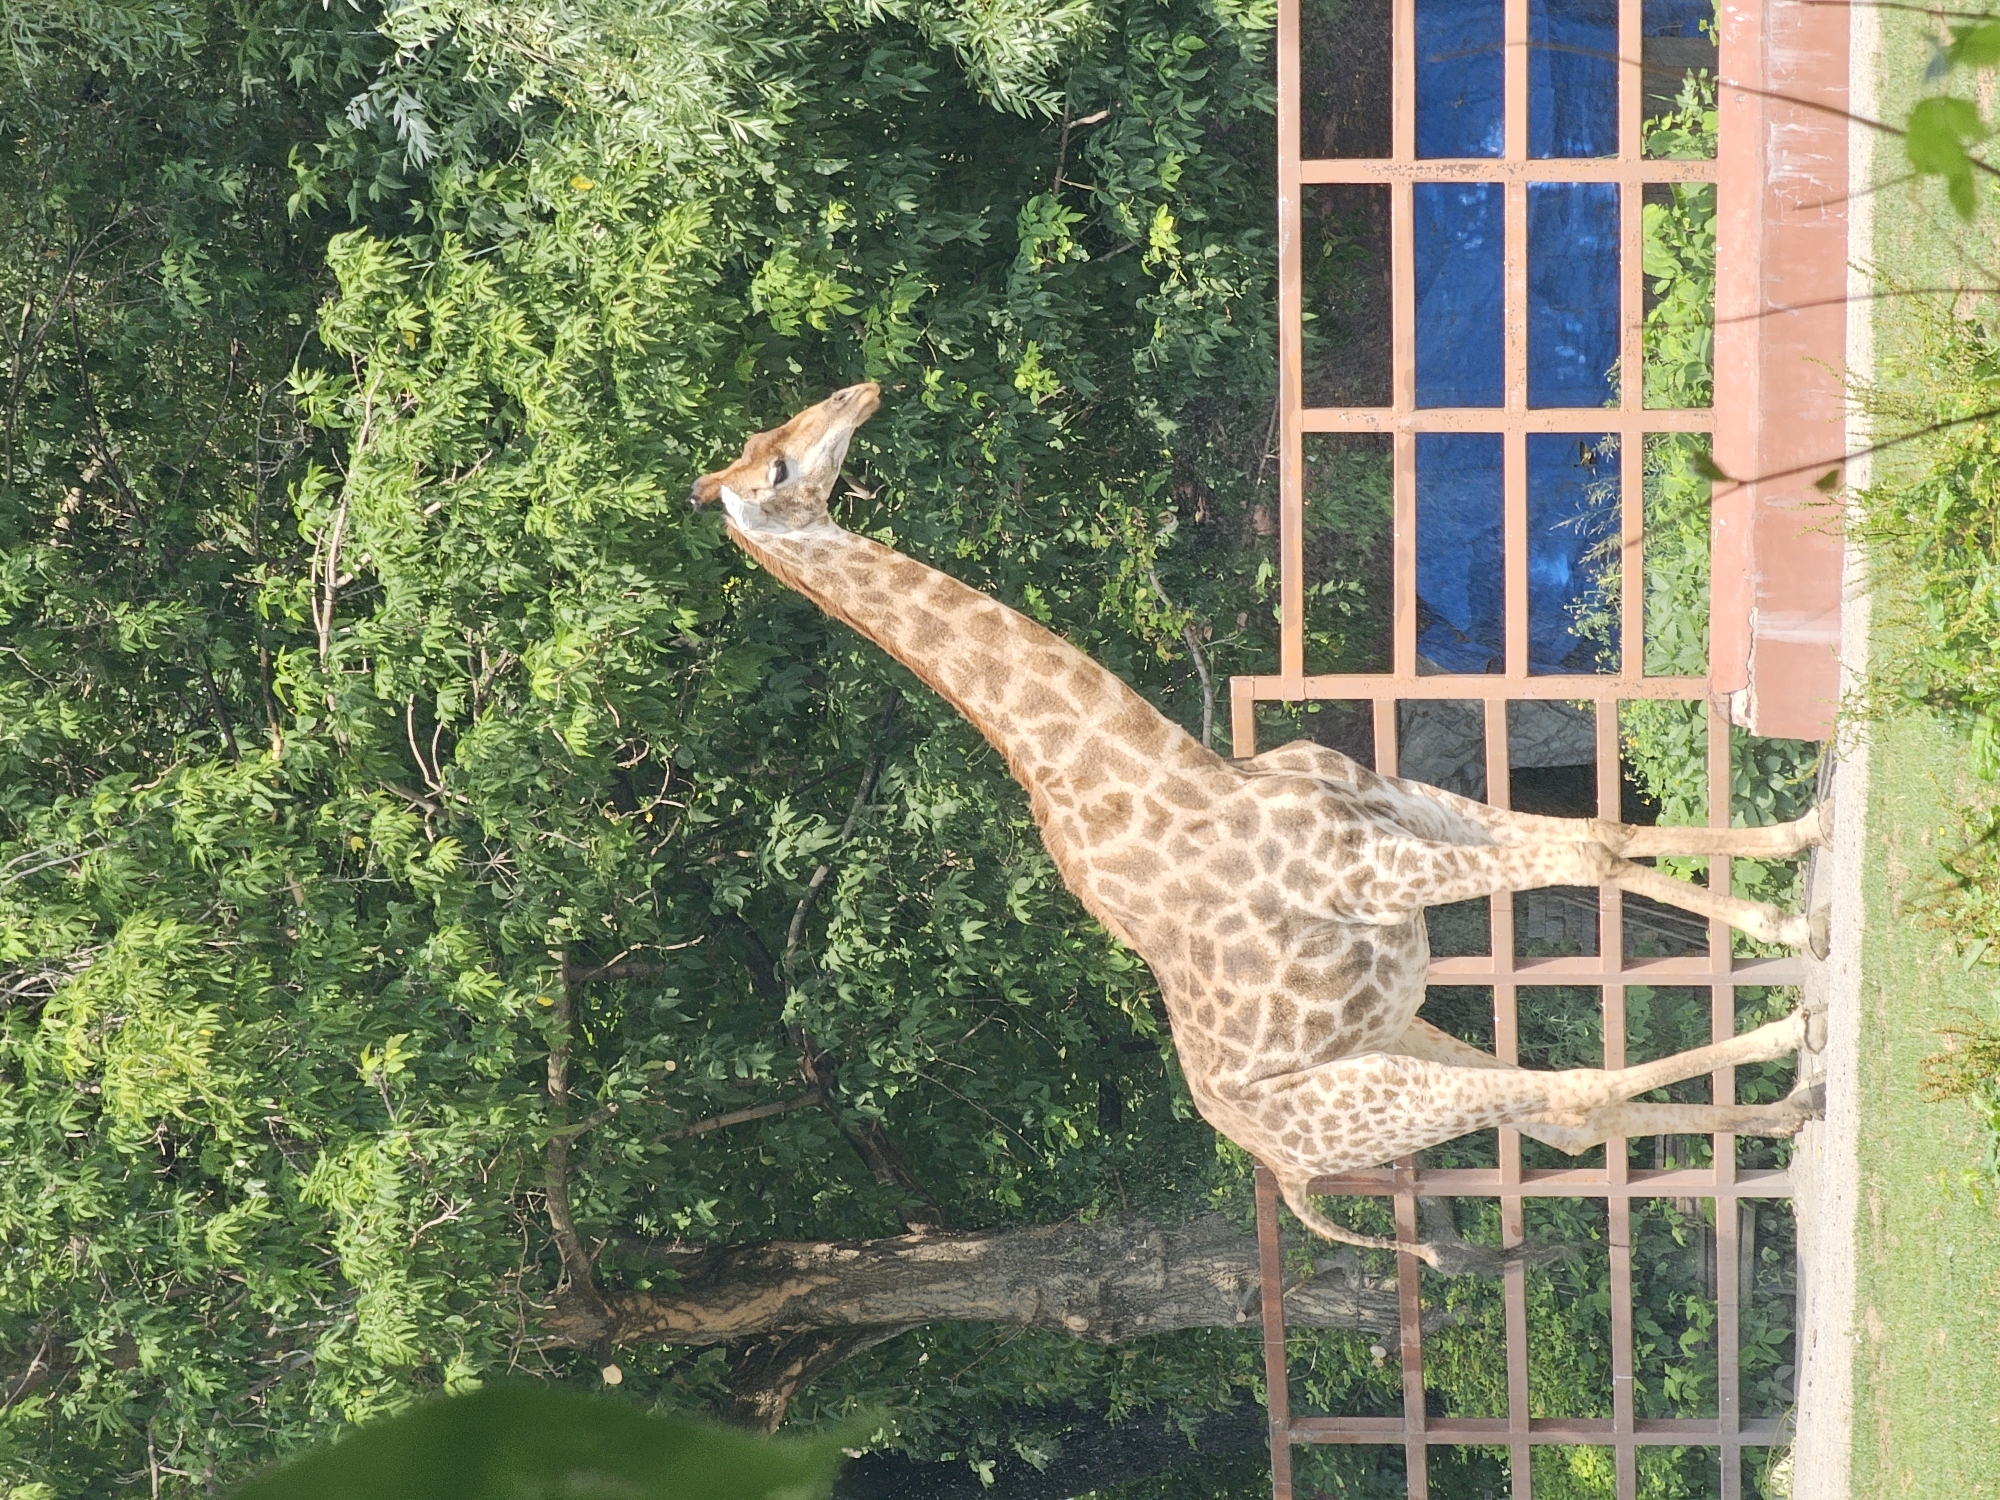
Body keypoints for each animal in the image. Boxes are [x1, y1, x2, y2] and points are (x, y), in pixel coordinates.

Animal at [690, 382, 1829, 1268]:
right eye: (780, 464)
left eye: (785, 435)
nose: (860, 392)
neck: (1173, 772)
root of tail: (1279, 1170)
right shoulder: (1369, 869)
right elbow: (1592, 844)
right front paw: (1802, 953)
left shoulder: (1398, 805)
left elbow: (1601, 832)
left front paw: (1799, 863)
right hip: (1375, 1093)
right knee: (1577, 1096)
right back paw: (1796, 1060)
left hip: (1398, 1034)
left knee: (1556, 1122)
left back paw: (1783, 1105)